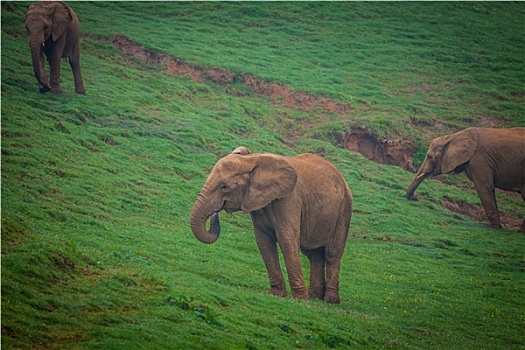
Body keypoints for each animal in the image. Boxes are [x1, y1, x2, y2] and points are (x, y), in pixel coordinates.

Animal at [188, 146, 352, 302]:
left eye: (224, 187)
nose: (215, 213)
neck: (252, 160)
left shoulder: (289, 199)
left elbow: (287, 240)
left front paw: (299, 298)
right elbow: (264, 242)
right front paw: (277, 294)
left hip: (344, 209)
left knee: (332, 253)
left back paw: (330, 300)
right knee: (313, 254)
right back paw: (315, 297)